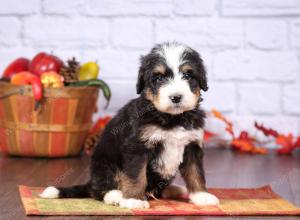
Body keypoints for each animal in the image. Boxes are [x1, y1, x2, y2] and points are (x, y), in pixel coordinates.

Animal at [39, 42, 219, 209]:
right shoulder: (137, 147)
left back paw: (173, 189)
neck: (173, 119)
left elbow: (195, 173)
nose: (176, 97)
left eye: (188, 75)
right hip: (104, 162)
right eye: (159, 78)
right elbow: (136, 175)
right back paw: (115, 196)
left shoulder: (192, 145)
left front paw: (202, 196)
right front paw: (133, 199)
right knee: (99, 189)